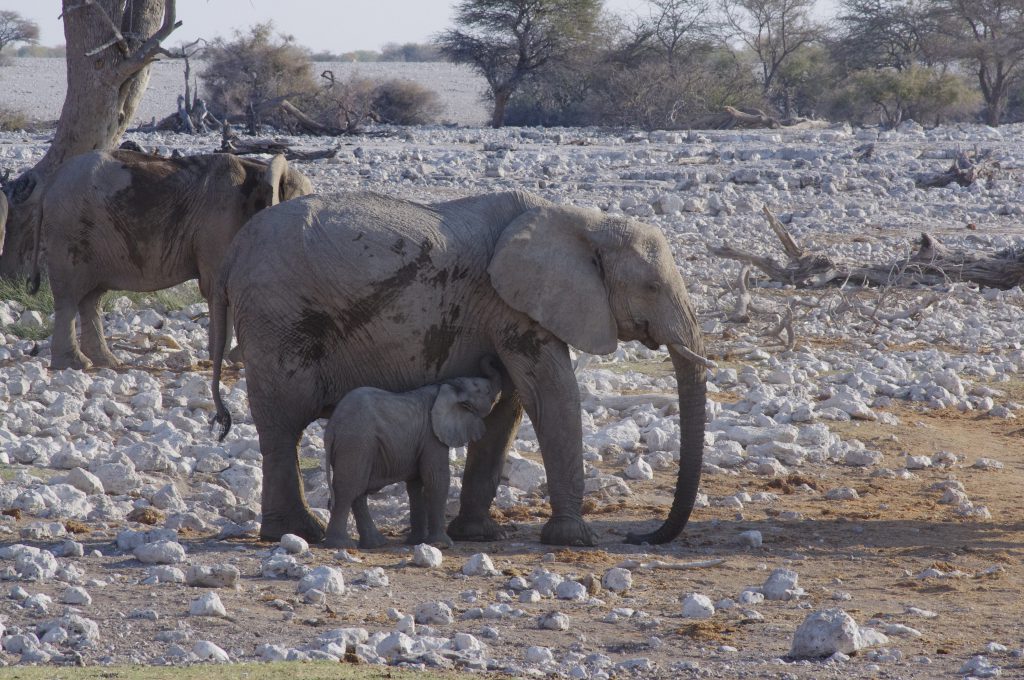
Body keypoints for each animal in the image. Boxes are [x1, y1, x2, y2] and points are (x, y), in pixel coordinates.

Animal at [32, 150, 311, 372]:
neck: (263, 169)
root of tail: (51, 182)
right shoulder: (220, 224)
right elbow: (220, 289)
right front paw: (228, 362)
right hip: (69, 231)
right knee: (69, 295)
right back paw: (74, 364)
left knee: (92, 298)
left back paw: (107, 362)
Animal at [325, 358, 501, 548]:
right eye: (487, 391)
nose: (491, 359)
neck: (448, 387)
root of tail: (331, 427)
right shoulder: (431, 434)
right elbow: (436, 479)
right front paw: (441, 544)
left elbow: (416, 485)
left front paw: (417, 542)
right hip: (356, 443)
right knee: (347, 489)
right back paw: (341, 545)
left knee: (358, 490)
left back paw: (375, 544)